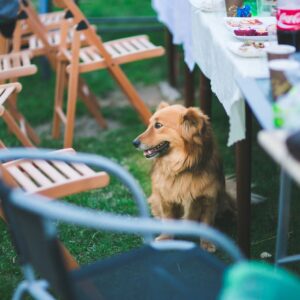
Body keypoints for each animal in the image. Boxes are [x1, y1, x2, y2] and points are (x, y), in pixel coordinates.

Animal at [132, 103, 236, 251]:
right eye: (149, 124)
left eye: (158, 125)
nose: (134, 142)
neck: (181, 167)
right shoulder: (166, 199)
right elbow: (168, 219)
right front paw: (166, 238)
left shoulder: (208, 200)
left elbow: (206, 222)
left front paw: (207, 243)